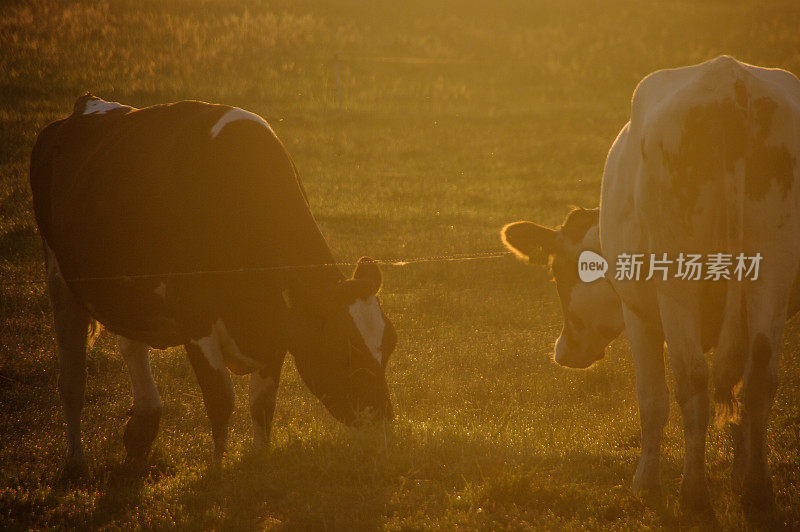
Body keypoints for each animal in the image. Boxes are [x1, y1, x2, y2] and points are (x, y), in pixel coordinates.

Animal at [29, 93, 398, 476]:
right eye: (343, 354)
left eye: (390, 347)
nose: (383, 428)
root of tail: (85, 106)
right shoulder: (197, 320)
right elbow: (221, 398)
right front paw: (218, 469)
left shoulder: (277, 326)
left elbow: (261, 403)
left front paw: (260, 460)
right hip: (60, 278)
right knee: (72, 378)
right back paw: (76, 459)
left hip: (128, 292)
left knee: (132, 345)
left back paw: (143, 424)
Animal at [500, 55, 800, 516]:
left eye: (557, 274)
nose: (563, 351)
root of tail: (729, 80)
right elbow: (734, 399)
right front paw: (739, 476)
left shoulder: (638, 316)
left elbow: (652, 400)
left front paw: (646, 483)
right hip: (772, 273)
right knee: (757, 383)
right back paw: (757, 490)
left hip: (677, 284)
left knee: (692, 381)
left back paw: (693, 495)